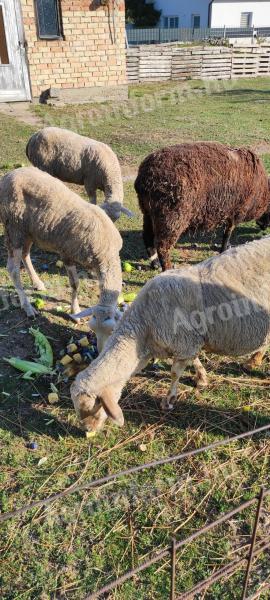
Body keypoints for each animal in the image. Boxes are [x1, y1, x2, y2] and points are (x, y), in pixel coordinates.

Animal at [0, 165, 122, 352]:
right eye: (93, 329)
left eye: (112, 331)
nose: (100, 351)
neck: (107, 254)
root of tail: (8, 175)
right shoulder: (67, 253)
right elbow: (75, 284)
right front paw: (75, 311)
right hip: (14, 227)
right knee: (12, 269)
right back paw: (27, 307)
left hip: (30, 231)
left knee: (26, 255)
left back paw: (37, 283)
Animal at [70, 236, 270, 432]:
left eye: (93, 406)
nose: (87, 430)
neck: (142, 332)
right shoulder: (188, 342)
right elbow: (194, 360)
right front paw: (202, 378)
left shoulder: (184, 343)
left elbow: (175, 373)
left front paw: (169, 400)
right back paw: (253, 361)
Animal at [135, 142, 270, 268]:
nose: (263, 227)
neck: (262, 192)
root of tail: (145, 178)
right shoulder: (236, 212)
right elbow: (227, 234)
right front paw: (224, 249)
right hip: (171, 216)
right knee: (163, 247)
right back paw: (166, 268)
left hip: (147, 212)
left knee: (147, 237)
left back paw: (155, 263)